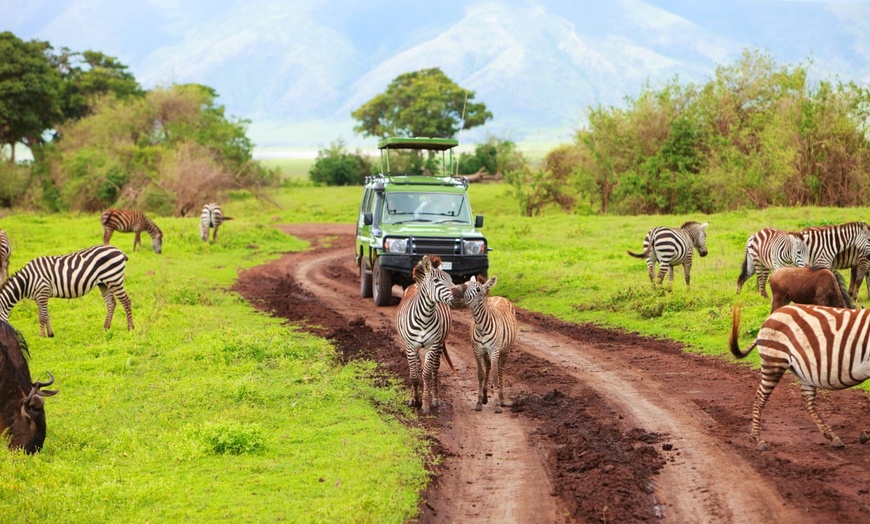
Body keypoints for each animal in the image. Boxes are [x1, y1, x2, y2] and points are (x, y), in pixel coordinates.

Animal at [0, 245, 135, 338]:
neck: (27, 280)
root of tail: (118, 250)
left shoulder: (42, 292)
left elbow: (42, 317)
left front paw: (42, 336)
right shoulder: (40, 296)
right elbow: (46, 314)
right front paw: (50, 334)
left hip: (114, 278)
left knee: (126, 301)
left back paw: (130, 328)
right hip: (104, 283)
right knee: (111, 303)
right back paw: (105, 328)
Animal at [396, 256, 464, 416]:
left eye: (451, 278)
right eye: (436, 281)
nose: (459, 295)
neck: (424, 317)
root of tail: (415, 284)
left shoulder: (432, 345)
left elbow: (426, 374)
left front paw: (425, 404)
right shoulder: (410, 346)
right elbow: (414, 375)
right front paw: (414, 400)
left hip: (439, 344)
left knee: (434, 369)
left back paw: (435, 399)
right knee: (416, 367)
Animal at [456, 274, 516, 414]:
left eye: (478, 289)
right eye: (465, 283)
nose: (457, 293)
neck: (481, 326)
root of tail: (500, 297)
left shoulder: (494, 350)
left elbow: (495, 376)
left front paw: (497, 405)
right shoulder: (477, 350)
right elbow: (481, 375)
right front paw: (479, 402)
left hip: (505, 350)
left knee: (500, 370)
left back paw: (501, 399)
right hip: (487, 353)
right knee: (488, 367)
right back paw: (485, 396)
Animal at [732, 302, 870, 450]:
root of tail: (773, 314)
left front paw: (866, 434)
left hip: (804, 373)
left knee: (807, 401)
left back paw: (833, 437)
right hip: (774, 361)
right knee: (760, 397)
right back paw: (758, 439)